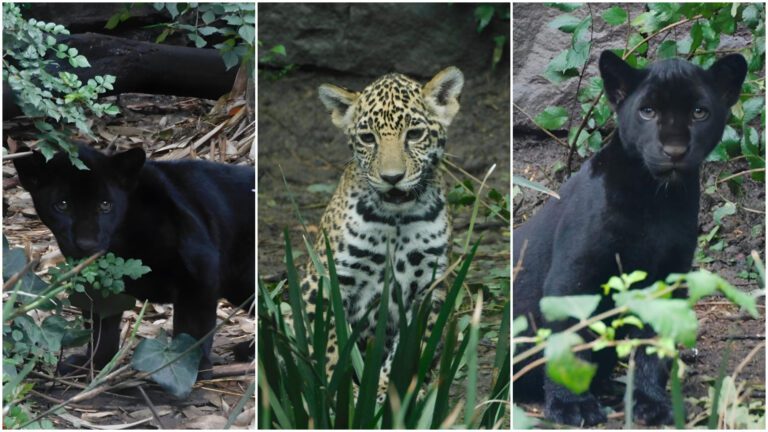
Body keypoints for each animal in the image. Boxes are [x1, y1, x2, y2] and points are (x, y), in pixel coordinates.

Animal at [297, 66, 464, 402]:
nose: (392, 178)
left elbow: (409, 348)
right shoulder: (325, 279)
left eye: (414, 134)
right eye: (367, 138)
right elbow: (331, 342)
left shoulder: (429, 286)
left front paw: (388, 390)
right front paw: (339, 390)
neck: (396, 220)